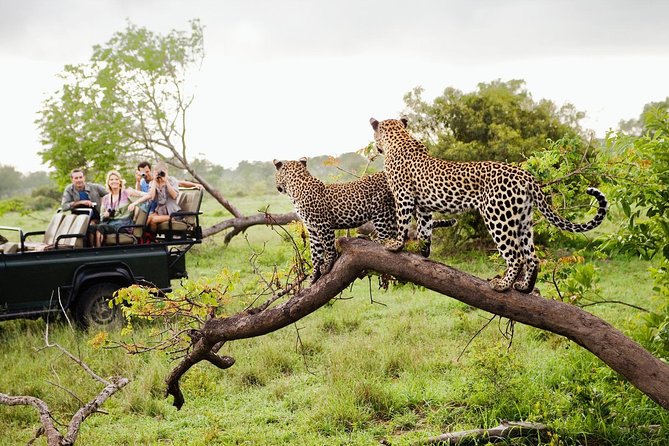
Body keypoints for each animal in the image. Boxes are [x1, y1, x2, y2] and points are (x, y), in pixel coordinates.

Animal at [274, 158, 455, 282]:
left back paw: (371, 240)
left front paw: (327, 265)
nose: (277, 187)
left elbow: (328, 247)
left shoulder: (323, 225)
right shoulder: (312, 229)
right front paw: (313, 276)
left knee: (387, 237)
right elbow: (315, 252)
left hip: (381, 211)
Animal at [369, 117, 608, 293]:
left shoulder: (403, 195)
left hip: (498, 217)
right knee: (532, 257)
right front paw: (423, 251)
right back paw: (523, 287)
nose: (376, 147)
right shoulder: (424, 206)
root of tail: (526, 176)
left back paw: (502, 285)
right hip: (523, 219)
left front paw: (395, 245)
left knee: (516, 256)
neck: (399, 138)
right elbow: (424, 229)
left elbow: (402, 222)